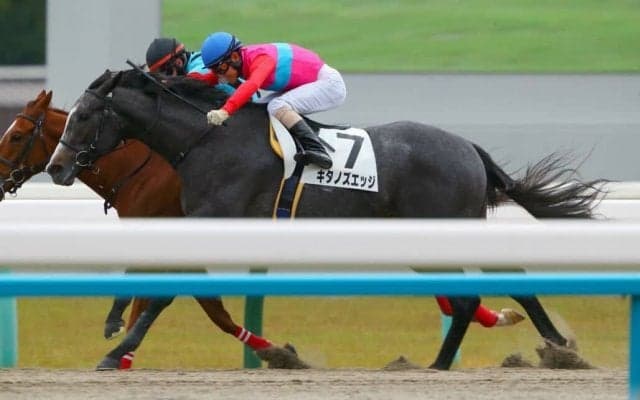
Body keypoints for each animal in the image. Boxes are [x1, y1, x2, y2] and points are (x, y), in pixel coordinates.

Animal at [46, 69, 606, 370]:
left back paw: (452, 363)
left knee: (472, 295)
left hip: (448, 225)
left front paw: (115, 351)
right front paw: (115, 330)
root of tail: (468, 147)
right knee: (490, 287)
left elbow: (165, 291)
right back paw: (549, 348)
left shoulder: (212, 221)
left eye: (85, 115)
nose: (56, 167)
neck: (207, 140)